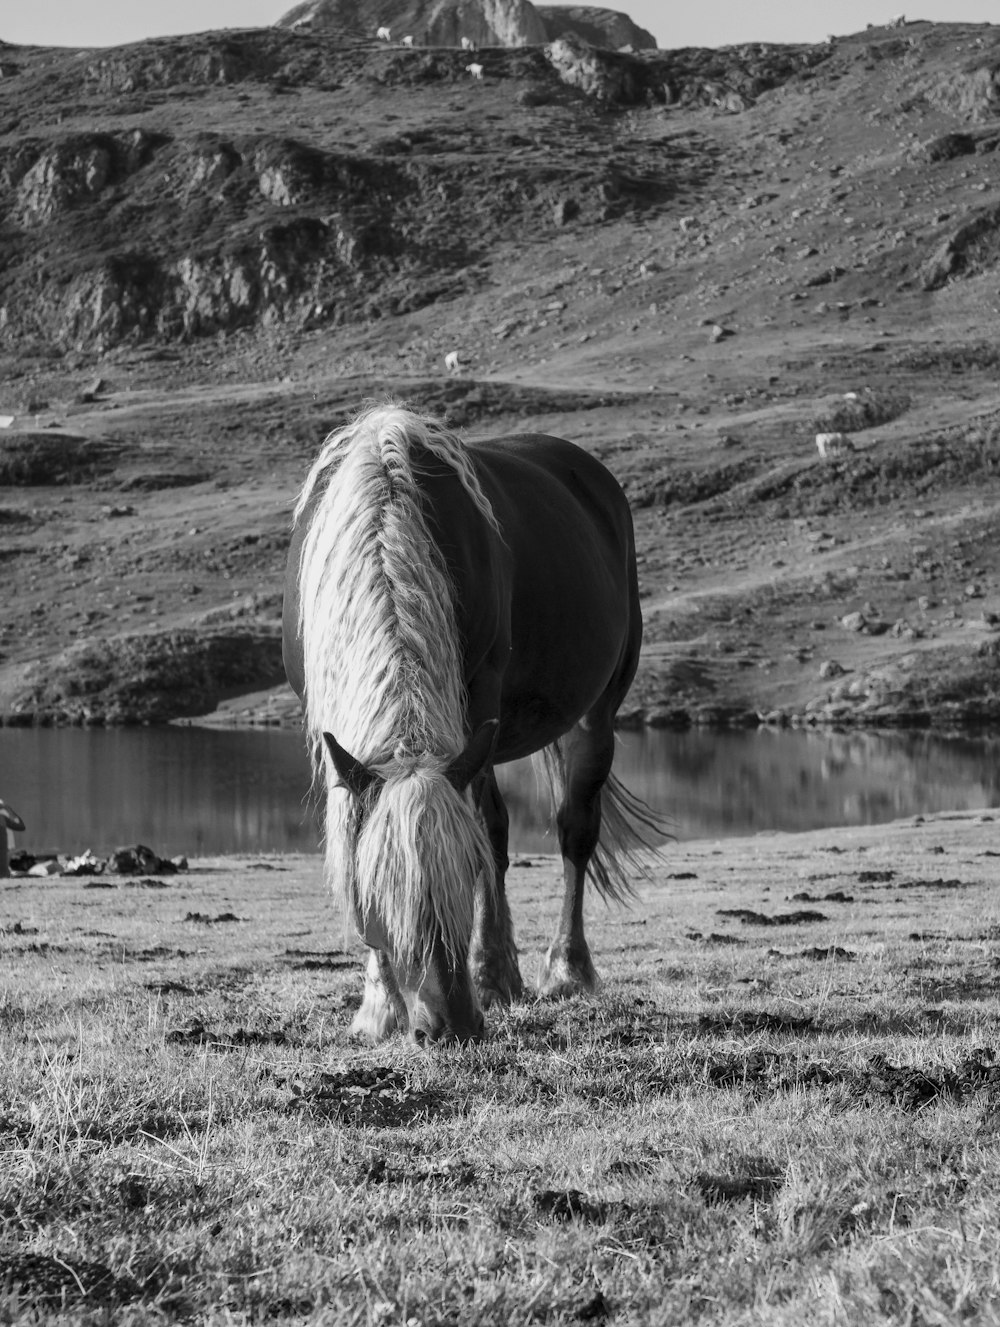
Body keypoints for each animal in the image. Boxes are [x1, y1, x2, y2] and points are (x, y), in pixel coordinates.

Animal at [281, 403, 657, 1045]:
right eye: (381, 896)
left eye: (461, 876)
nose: (451, 1025)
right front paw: (378, 1005)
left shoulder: (480, 700)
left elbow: (488, 835)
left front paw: (489, 976)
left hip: (594, 715)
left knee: (574, 830)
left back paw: (565, 970)